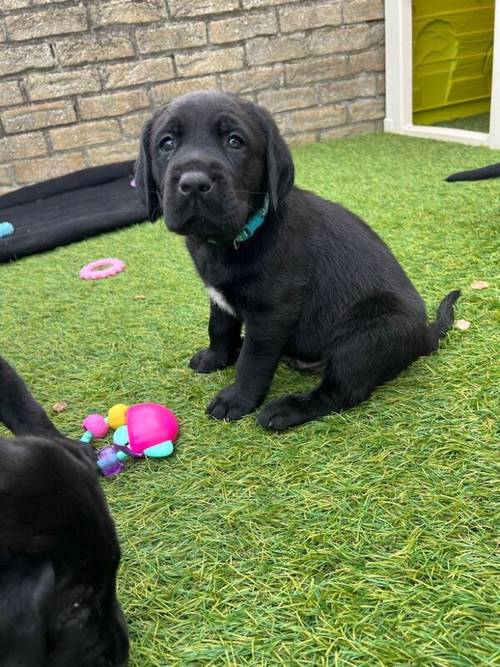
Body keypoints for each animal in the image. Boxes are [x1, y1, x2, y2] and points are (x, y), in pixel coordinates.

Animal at [135, 91, 458, 430]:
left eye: (235, 141)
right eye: (166, 144)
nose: (194, 183)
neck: (240, 236)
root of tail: (424, 335)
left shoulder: (271, 314)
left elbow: (253, 361)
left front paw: (236, 400)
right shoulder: (219, 297)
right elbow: (220, 326)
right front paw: (215, 357)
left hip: (370, 331)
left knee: (343, 390)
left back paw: (287, 409)